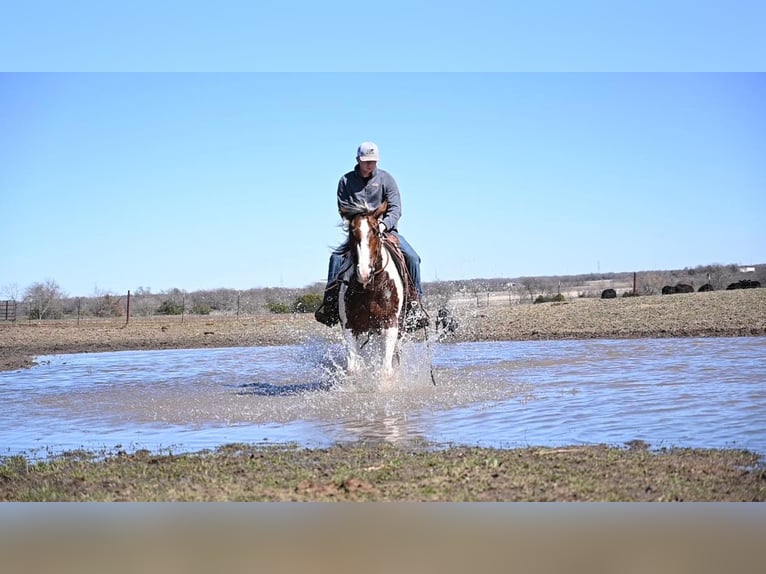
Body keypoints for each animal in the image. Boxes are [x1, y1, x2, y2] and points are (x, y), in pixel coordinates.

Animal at [338, 200, 408, 380]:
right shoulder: (350, 326)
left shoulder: (390, 324)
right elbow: (353, 369)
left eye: (376, 231)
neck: (370, 289)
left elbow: (385, 370)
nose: (364, 272)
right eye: (351, 232)